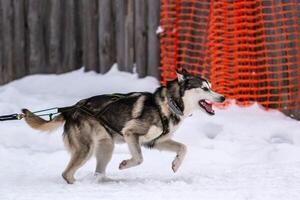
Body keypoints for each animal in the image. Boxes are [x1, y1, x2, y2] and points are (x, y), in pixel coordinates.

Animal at [22, 68, 224, 184]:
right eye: (205, 89)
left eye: (211, 86)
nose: (222, 97)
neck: (169, 104)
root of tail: (71, 109)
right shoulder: (131, 133)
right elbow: (139, 158)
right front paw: (125, 164)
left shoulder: (156, 141)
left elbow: (183, 148)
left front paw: (176, 164)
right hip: (86, 149)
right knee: (67, 174)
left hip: (106, 146)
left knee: (98, 173)